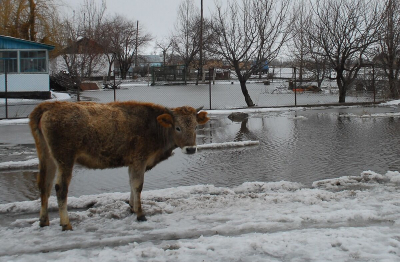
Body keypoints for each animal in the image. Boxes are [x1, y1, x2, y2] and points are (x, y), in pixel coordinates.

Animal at [28, 101, 209, 230]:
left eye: (195, 126)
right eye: (177, 127)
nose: (191, 149)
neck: (154, 126)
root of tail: (48, 106)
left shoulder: (132, 163)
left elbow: (131, 183)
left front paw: (132, 207)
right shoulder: (139, 159)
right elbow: (137, 185)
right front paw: (140, 214)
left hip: (47, 157)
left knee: (44, 185)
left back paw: (43, 221)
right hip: (65, 158)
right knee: (60, 188)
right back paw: (66, 223)